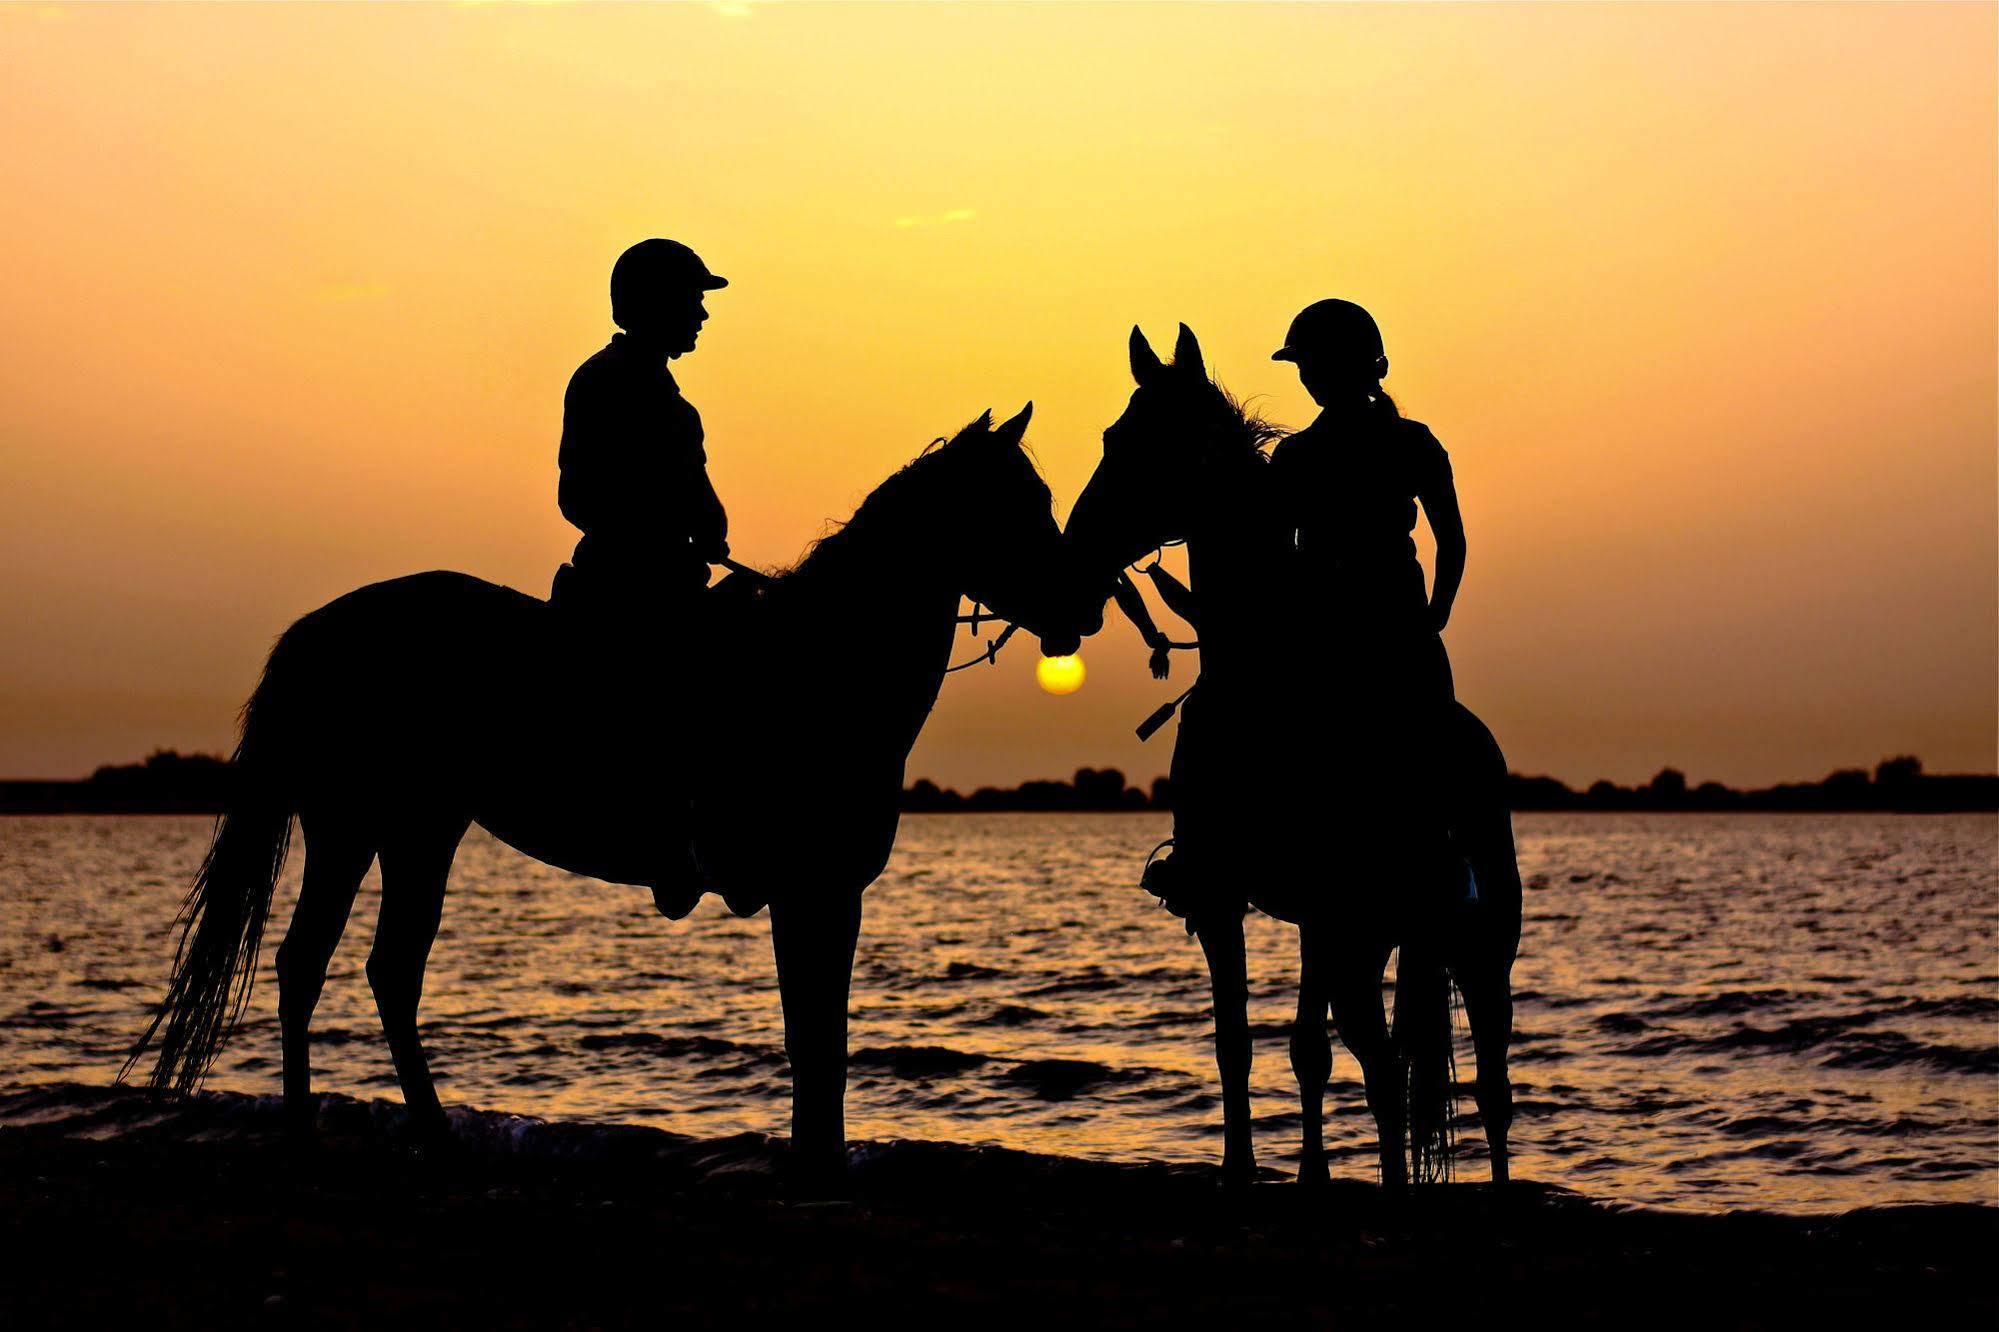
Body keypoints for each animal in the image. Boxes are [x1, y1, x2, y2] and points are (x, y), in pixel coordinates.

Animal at [124, 402, 1095, 1176]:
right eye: (1019, 506)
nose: (1082, 608)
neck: (820, 666)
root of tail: (321, 629)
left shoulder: (824, 892)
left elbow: (822, 1031)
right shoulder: (810, 889)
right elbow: (813, 1033)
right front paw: (816, 1164)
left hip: (416, 830)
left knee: (382, 971)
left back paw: (431, 1138)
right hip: (354, 824)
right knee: (308, 965)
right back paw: (306, 1138)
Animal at [1071, 326, 1519, 1184]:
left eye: (1157, 444)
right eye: (1111, 437)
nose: (1075, 550)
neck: (1266, 686)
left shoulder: (1340, 915)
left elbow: (1365, 1063)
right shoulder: (1229, 899)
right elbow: (1250, 1045)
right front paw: (1262, 1170)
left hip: (1472, 940)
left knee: (1482, 1081)